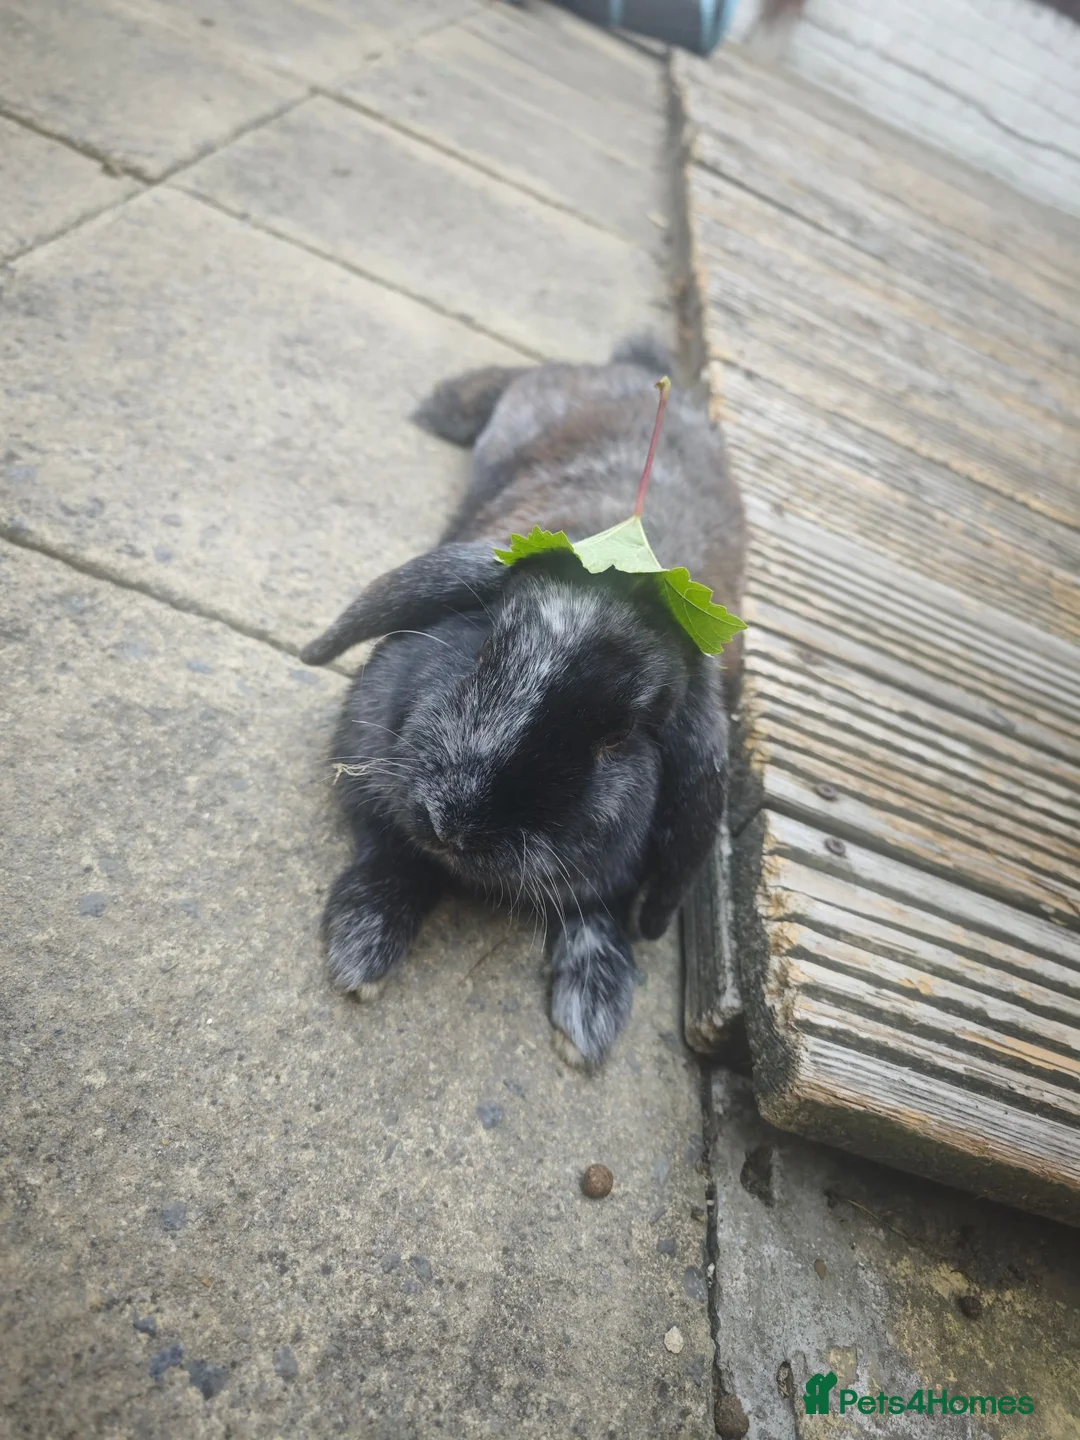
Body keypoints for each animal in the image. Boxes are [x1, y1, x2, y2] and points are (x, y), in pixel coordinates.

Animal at [300, 336, 746, 1068]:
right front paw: (360, 949)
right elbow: (392, 855)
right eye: (487, 643)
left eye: (619, 737)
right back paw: (437, 411)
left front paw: (590, 1016)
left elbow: (599, 919)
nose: (455, 823)